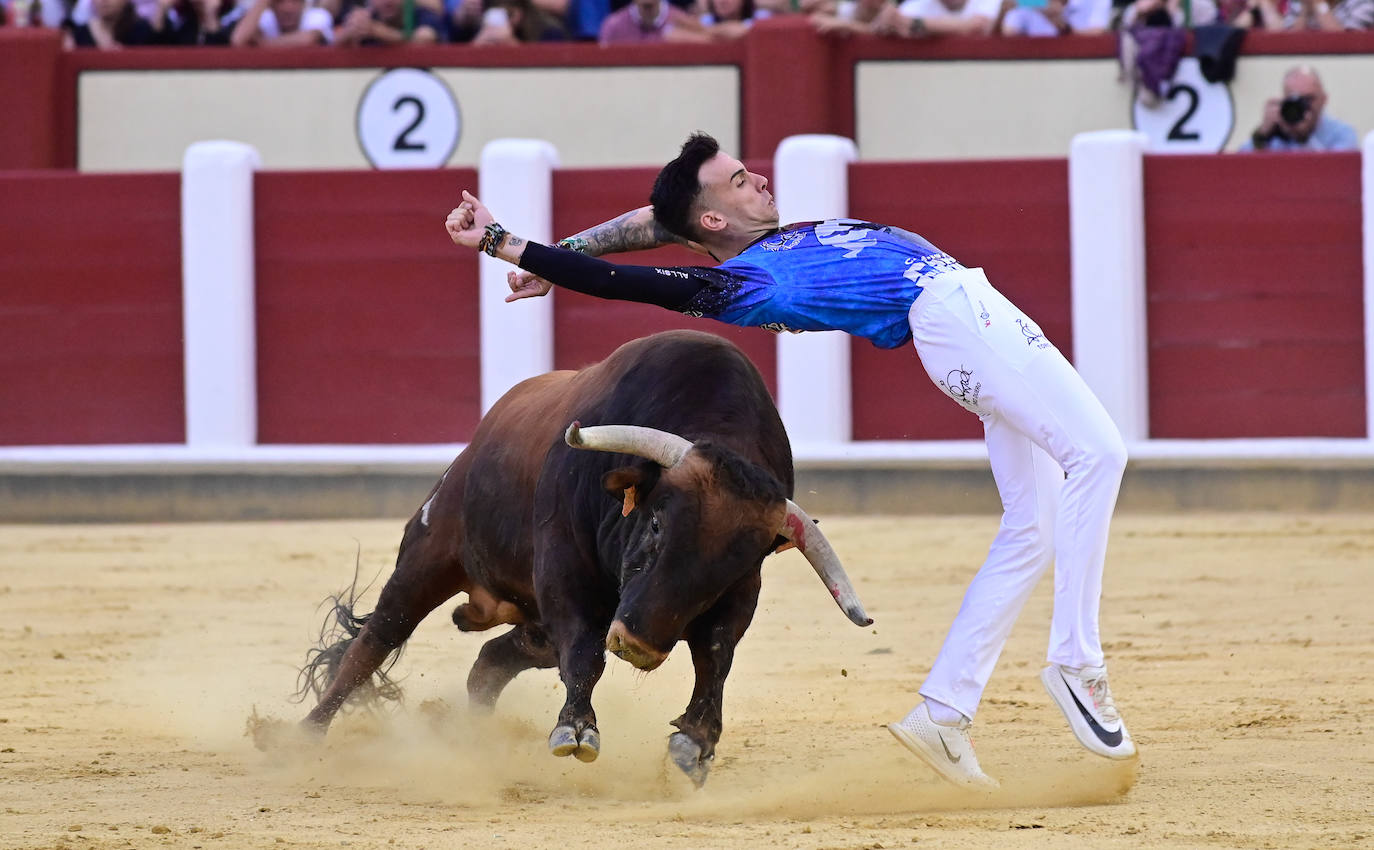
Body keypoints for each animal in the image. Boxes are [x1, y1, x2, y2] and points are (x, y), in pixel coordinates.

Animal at [298, 329, 868, 785]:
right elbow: (586, 653)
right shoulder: (565, 575)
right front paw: (575, 729)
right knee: (374, 642)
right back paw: (302, 738)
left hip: (534, 625)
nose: (637, 644)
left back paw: (473, 739)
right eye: (657, 524)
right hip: (430, 556)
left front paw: (695, 743)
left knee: (492, 660)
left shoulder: (738, 597)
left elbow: (715, 657)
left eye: (732, 566)